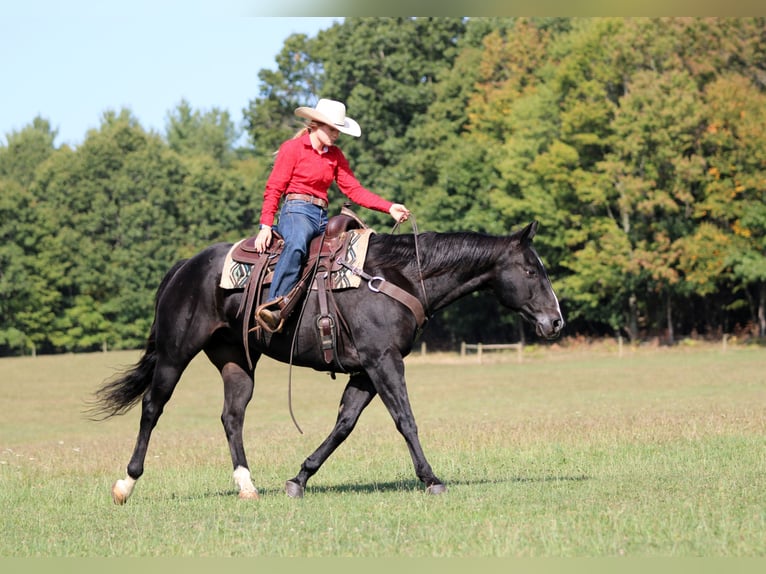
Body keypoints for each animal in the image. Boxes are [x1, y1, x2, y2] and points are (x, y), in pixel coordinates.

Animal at [92, 220, 564, 504]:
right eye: (531, 270)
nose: (556, 320)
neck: (397, 277)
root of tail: (184, 268)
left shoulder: (366, 370)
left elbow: (344, 424)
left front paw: (299, 478)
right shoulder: (383, 362)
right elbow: (405, 420)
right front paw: (431, 479)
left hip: (237, 362)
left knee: (232, 416)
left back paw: (247, 486)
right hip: (175, 354)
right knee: (152, 408)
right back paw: (126, 483)